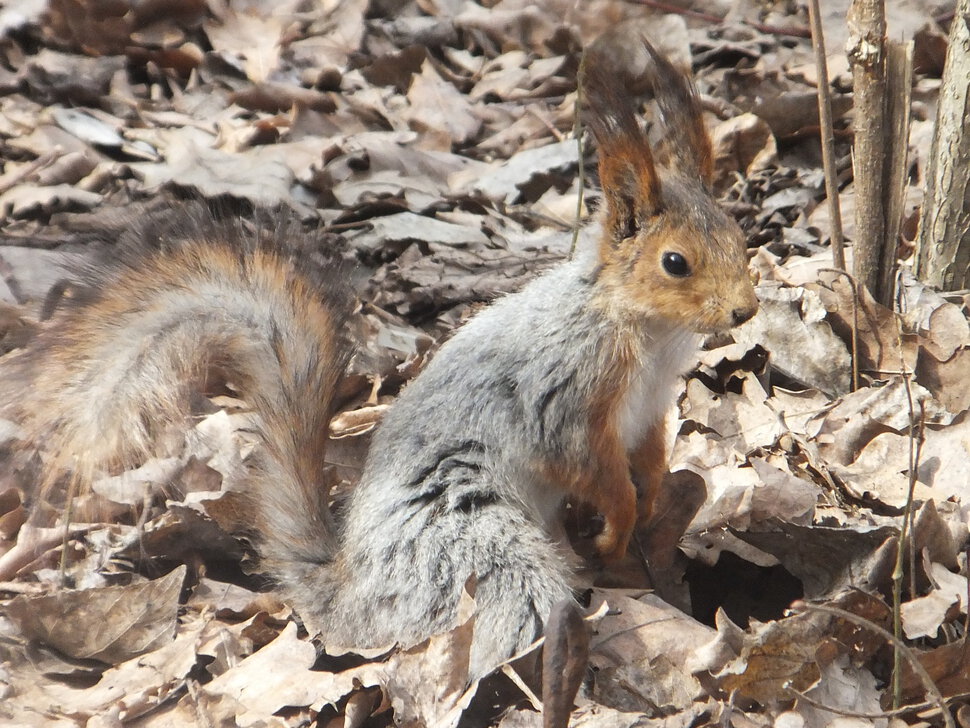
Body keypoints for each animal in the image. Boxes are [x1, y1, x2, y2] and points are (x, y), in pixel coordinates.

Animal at [0, 39, 756, 680]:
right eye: (676, 262)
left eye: (738, 234)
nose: (746, 311)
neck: (645, 333)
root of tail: (347, 593)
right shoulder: (565, 396)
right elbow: (589, 468)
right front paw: (620, 523)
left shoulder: (649, 409)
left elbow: (649, 458)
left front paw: (650, 499)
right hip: (472, 543)